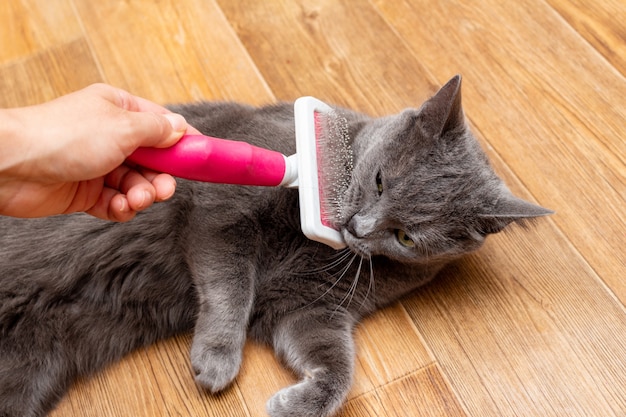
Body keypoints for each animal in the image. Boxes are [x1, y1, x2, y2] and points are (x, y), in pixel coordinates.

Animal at [0, 75, 544, 416]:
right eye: (380, 181)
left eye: (407, 237)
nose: (361, 228)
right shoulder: (221, 208)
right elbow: (232, 286)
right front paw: (217, 358)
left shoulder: (310, 306)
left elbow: (336, 366)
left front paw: (295, 405)